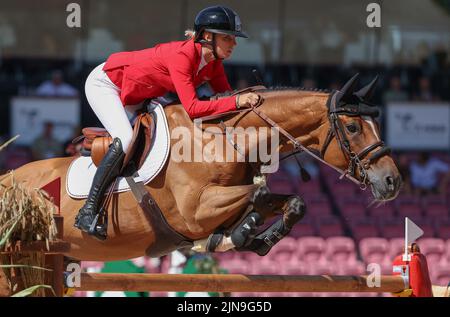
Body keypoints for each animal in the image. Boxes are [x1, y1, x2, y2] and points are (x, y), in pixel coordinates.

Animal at [0, 74, 400, 262]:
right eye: (353, 127)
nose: (392, 181)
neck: (223, 140)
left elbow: (291, 201)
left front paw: (254, 239)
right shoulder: (195, 211)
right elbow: (257, 193)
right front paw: (235, 236)